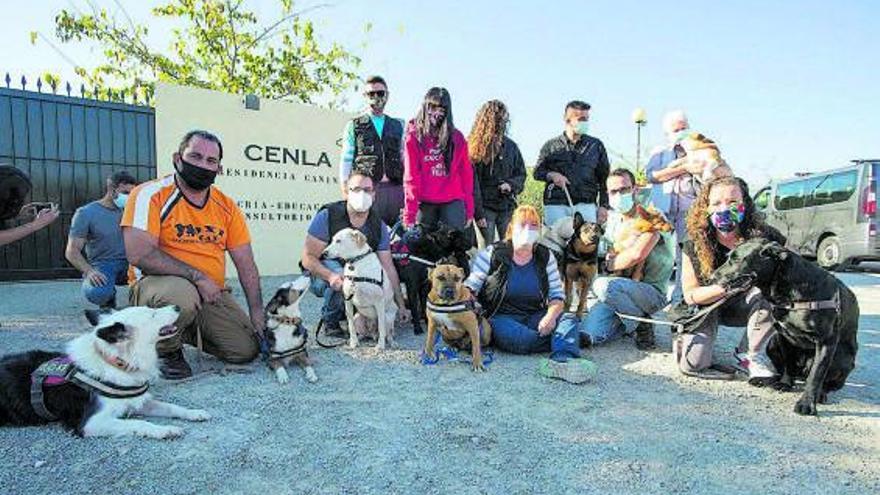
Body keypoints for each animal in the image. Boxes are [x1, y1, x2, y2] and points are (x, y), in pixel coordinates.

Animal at [0, 306, 210, 442]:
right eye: (151, 314)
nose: (177, 306)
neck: (115, 362)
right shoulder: (92, 423)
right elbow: (139, 424)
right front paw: (164, 430)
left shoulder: (135, 401)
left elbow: (170, 407)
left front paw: (194, 413)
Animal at [716, 238, 860, 416]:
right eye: (728, 257)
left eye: (736, 259)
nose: (712, 277)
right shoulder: (784, 335)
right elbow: (788, 365)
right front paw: (785, 383)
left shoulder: (826, 342)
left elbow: (816, 375)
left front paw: (806, 403)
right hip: (772, 344)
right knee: (781, 370)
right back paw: (766, 379)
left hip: (842, 359)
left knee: (827, 383)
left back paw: (821, 394)